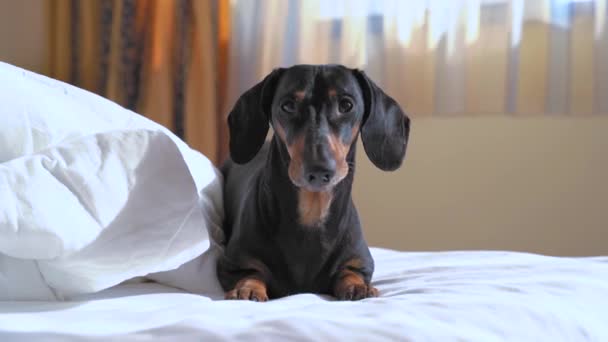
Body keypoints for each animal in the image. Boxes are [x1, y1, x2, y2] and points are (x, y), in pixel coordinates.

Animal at [216, 64, 410, 302]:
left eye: (346, 105)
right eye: (288, 106)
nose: (319, 169)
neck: (312, 211)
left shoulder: (361, 263)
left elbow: (350, 272)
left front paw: (357, 286)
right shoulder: (232, 264)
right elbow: (251, 272)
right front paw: (249, 288)